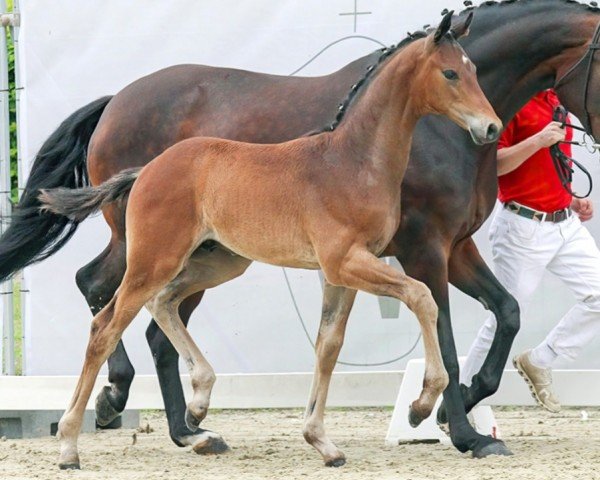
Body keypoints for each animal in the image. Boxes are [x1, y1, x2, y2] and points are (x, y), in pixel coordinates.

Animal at [43, 14, 502, 468]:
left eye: (474, 69)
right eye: (450, 73)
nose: (491, 127)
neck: (352, 161)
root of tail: (147, 170)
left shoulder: (342, 273)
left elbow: (328, 345)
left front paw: (322, 442)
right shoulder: (349, 261)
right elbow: (423, 298)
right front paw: (421, 406)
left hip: (219, 262)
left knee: (162, 303)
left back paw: (198, 406)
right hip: (154, 258)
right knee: (106, 325)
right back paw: (69, 446)